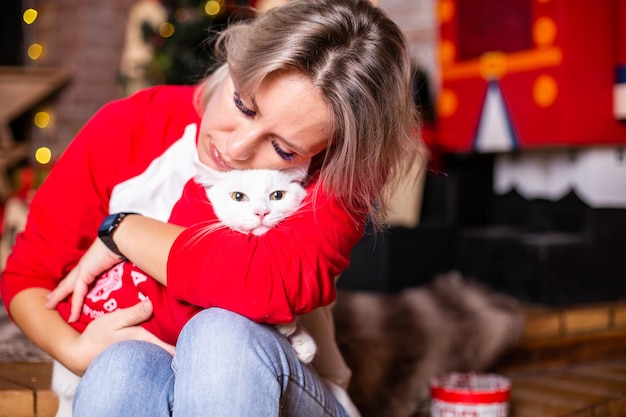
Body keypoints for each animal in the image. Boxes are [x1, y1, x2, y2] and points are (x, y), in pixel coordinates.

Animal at [51, 162, 316, 416]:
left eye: (277, 195)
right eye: (238, 197)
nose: (262, 212)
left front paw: (303, 341)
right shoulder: (176, 312)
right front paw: (288, 325)